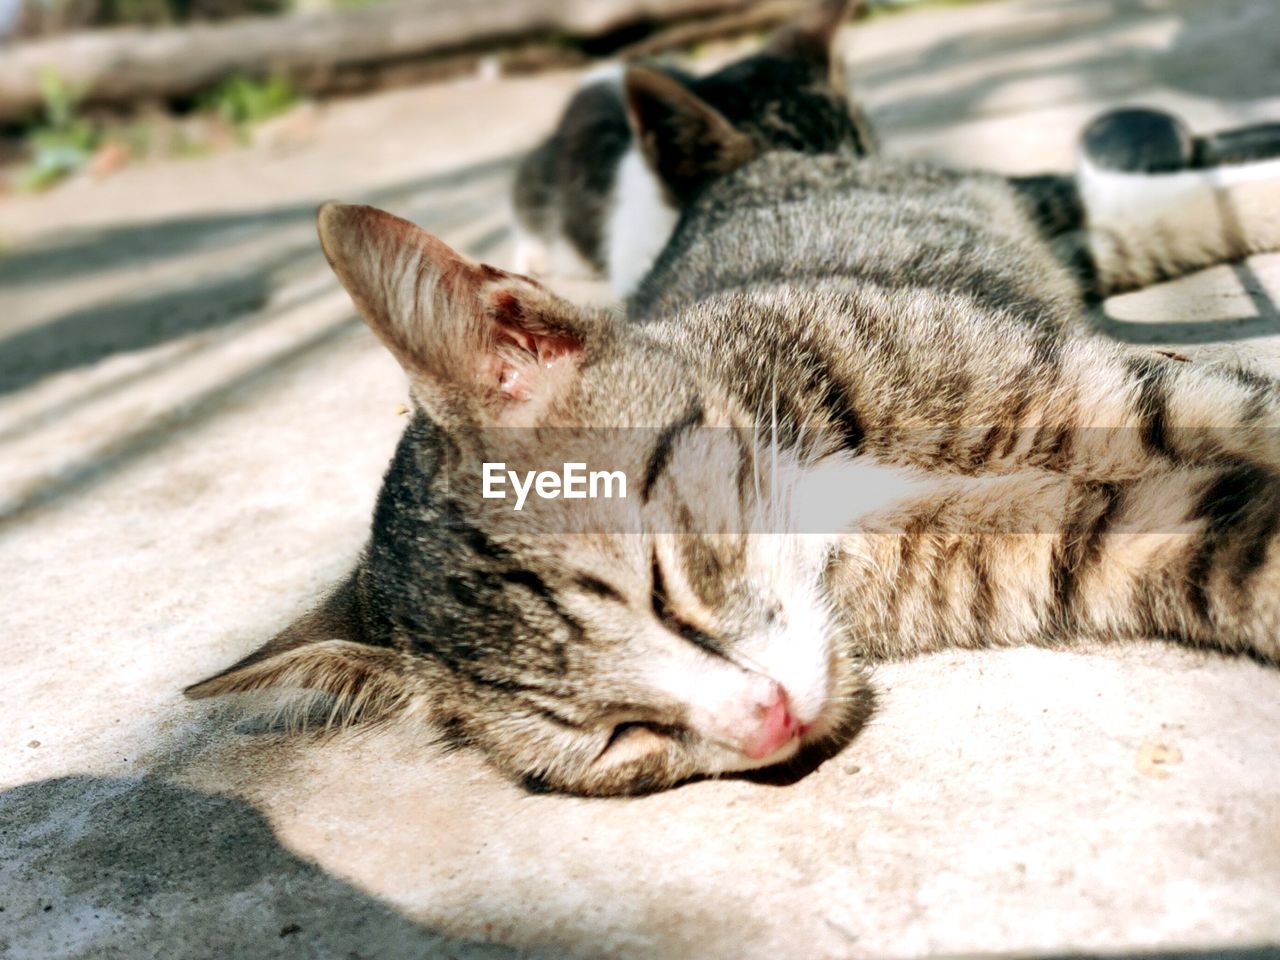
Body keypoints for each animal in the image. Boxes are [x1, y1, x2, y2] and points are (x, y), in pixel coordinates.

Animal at [185, 75, 1280, 798]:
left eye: (666, 588)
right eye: (620, 738)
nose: (766, 727)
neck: (806, 481)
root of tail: (742, 165)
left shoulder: (1089, 385)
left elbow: (1239, 410)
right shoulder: (1052, 543)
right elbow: (1219, 545)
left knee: (1156, 199)